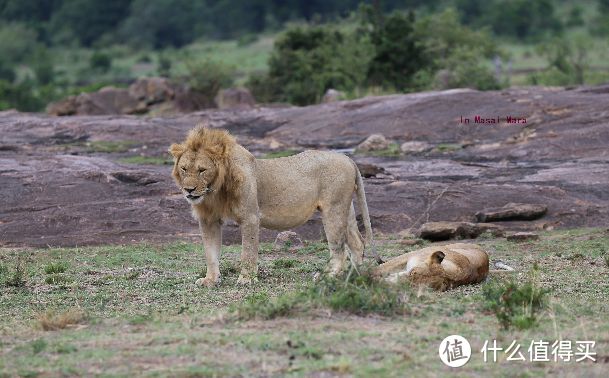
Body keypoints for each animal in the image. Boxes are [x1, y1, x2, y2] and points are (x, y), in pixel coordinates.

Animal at [170, 125, 380, 284]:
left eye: (202, 170)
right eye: (184, 169)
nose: (188, 190)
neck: (215, 189)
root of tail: (348, 158)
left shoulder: (250, 217)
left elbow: (248, 251)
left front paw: (246, 279)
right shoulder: (209, 219)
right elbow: (210, 252)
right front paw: (211, 280)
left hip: (333, 208)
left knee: (339, 249)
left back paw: (329, 276)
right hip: (346, 206)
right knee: (357, 242)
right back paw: (355, 275)